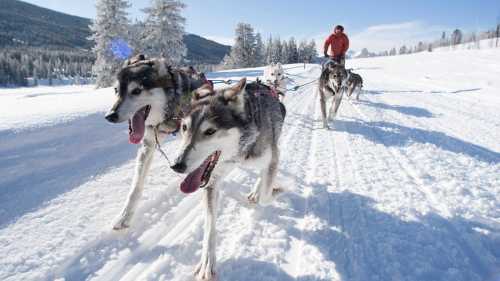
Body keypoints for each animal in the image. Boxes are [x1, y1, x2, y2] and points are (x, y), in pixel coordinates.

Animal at [105, 54, 207, 230]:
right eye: (116, 90)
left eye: (136, 91)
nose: (110, 115)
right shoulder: (148, 144)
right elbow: (136, 186)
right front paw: (124, 217)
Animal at [170, 77, 286, 278]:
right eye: (184, 127)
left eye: (210, 131)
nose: (176, 165)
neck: (239, 151)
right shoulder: (212, 180)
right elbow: (209, 226)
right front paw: (207, 262)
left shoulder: (273, 157)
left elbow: (266, 196)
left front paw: (276, 190)